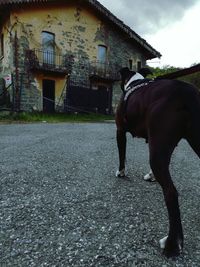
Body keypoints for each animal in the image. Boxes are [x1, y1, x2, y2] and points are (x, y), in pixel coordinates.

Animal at [115, 67, 200, 260]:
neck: (135, 82)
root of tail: (188, 93)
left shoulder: (120, 131)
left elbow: (122, 155)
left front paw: (121, 172)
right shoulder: (155, 142)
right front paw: (151, 176)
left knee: (171, 193)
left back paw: (172, 244)